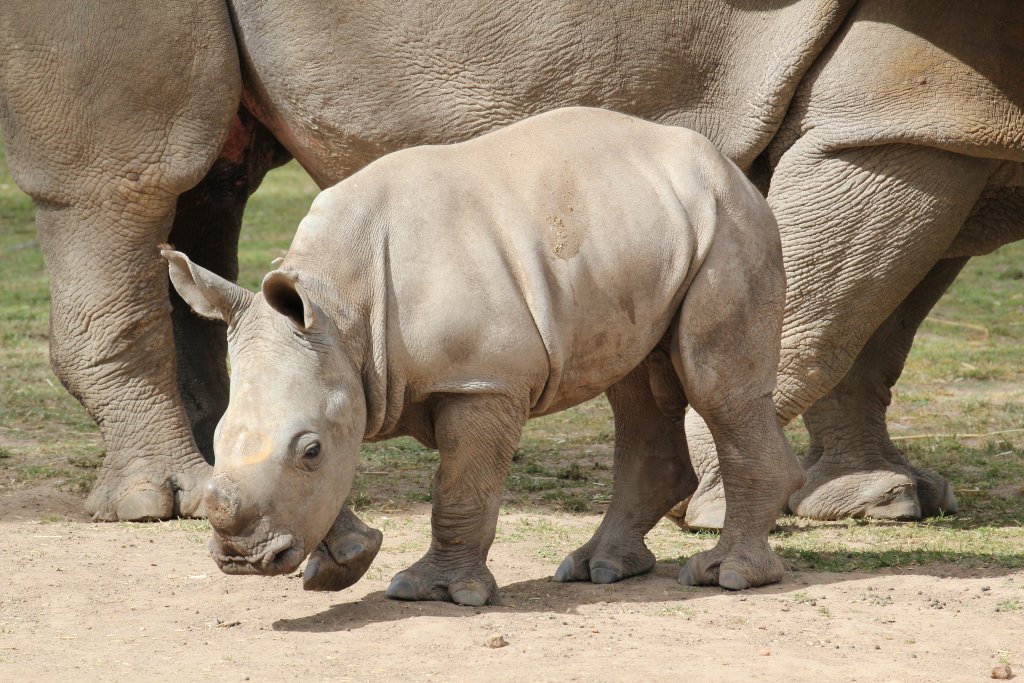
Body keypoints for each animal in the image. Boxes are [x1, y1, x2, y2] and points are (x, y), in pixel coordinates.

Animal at [163, 108, 802, 603]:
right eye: (217, 439)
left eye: (310, 450)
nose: (242, 559)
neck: (344, 307)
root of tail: (729, 167)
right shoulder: (337, 364)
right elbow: (334, 476)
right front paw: (344, 566)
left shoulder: (482, 380)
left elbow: (460, 489)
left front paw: (437, 592)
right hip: (651, 227)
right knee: (636, 384)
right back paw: (597, 570)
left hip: (728, 223)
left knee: (714, 384)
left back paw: (727, 576)